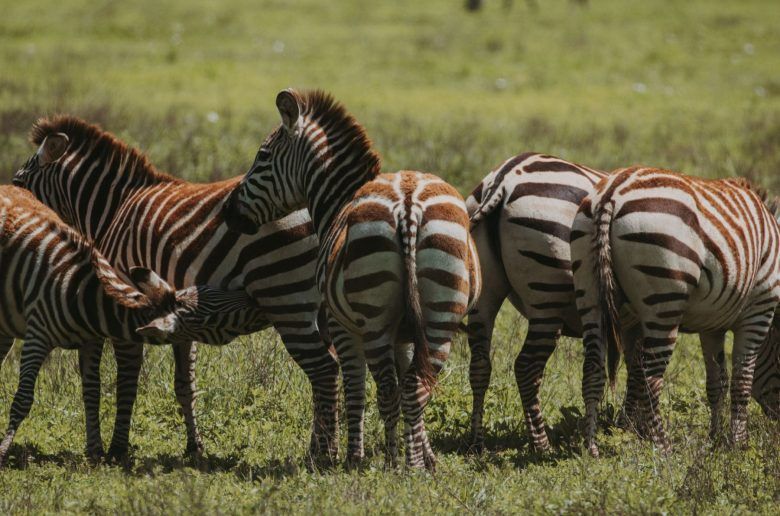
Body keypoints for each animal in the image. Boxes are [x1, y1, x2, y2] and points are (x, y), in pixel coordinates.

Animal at [0, 185, 258, 467]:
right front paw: (3, 451)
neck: (82, 296)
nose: (253, 299)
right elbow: (23, 399)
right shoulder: (38, 334)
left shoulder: (91, 341)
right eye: (213, 319)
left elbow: (92, 391)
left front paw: (96, 452)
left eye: (211, 291)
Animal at [222, 89, 481, 469]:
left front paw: (355, 455)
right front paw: (425, 455)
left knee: (387, 388)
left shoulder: (341, 325)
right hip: (440, 314)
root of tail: (408, 204)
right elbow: (409, 379)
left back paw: (392, 464)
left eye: (262, 156)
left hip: (372, 321)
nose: (228, 212)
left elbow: (355, 388)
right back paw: (413, 466)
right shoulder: (405, 333)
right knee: (417, 385)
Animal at [465, 152, 606, 452]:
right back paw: (541, 445)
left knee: (480, 364)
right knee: (527, 367)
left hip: (485, 291)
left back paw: (477, 443)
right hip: (548, 293)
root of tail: (504, 177)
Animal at [571, 167, 780, 457]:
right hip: (664, 299)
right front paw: (738, 445)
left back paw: (591, 447)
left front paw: (715, 440)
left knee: (592, 367)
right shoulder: (758, 310)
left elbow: (717, 382)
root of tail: (612, 190)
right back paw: (663, 446)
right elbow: (742, 380)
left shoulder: (712, 326)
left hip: (588, 291)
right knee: (650, 377)